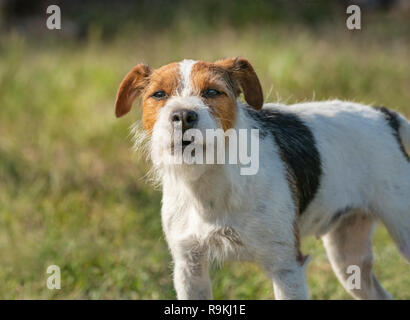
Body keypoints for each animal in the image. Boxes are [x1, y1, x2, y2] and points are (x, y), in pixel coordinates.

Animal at [113, 57, 408, 300]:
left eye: (212, 92)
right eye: (158, 94)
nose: (183, 116)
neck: (211, 180)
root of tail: (385, 116)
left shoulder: (286, 268)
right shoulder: (189, 267)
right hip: (347, 257)